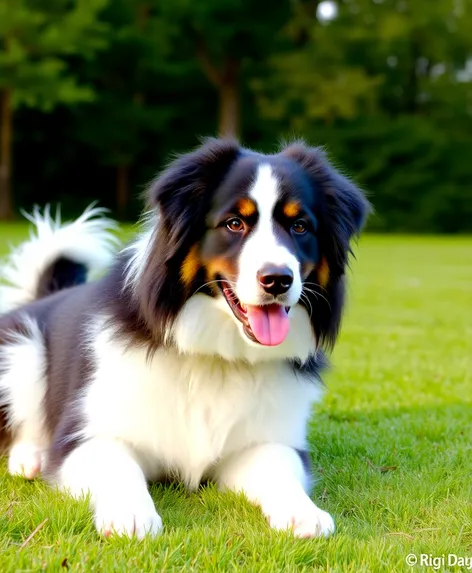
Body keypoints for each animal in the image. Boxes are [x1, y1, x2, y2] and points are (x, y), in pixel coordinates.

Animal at [0, 137, 368, 536]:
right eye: (235, 223)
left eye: (300, 226)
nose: (278, 279)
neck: (217, 356)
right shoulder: (85, 436)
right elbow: (118, 466)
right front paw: (130, 513)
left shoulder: (266, 440)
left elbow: (279, 468)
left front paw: (303, 512)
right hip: (22, 351)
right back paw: (30, 458)